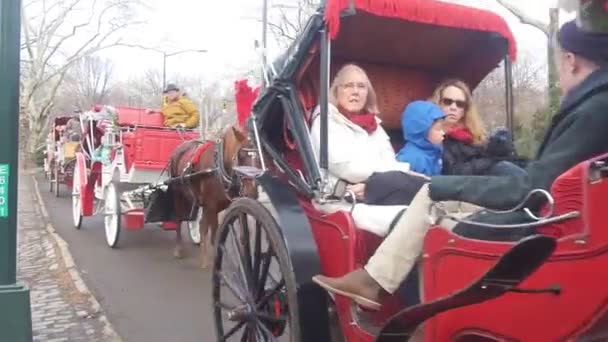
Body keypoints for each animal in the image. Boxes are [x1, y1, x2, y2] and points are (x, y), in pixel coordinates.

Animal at [167, 124, 260, 268]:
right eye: (241, 155)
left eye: (260, 158)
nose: (251, 192)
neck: (219, 167)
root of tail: (181, 146)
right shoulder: (211, 206)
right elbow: (214, 235)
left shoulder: (225, 205)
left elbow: (240, 233)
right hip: (178, 194)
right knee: (178, 219)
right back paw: (179, 249)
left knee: (201, 225)